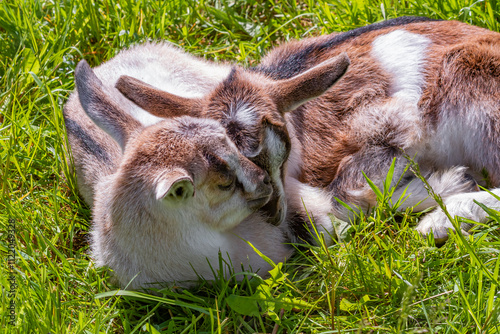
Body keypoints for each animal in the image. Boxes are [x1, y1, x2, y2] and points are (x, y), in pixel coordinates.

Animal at [119, 16, 500, 245]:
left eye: (283, 147)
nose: (273, 214)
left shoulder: (390, 126)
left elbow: (347, 192)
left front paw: (450, 183)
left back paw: (440, 222)